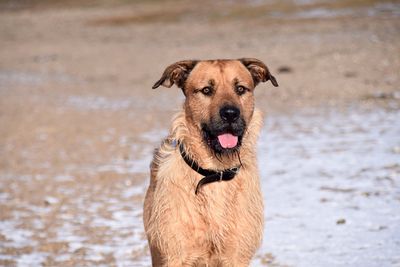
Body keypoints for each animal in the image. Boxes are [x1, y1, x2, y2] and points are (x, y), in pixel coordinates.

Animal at [144, 57, 278, 266]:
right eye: (207, 90)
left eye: (240, 89)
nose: (230, 113)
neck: (216, 172)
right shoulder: (175, 255)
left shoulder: (237, 256)